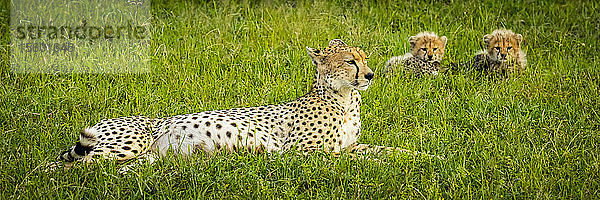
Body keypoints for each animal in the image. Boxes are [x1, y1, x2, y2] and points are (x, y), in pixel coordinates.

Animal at [52, 39, 426, 170]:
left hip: (143, 158)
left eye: (365, 58)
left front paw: (424, 156)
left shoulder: (351, 143)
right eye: (351, 61)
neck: (345, 98)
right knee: (60, 165)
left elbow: (386, 149)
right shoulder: (299, 152)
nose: (370, 75)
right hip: (127, 142)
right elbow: (350, 158)